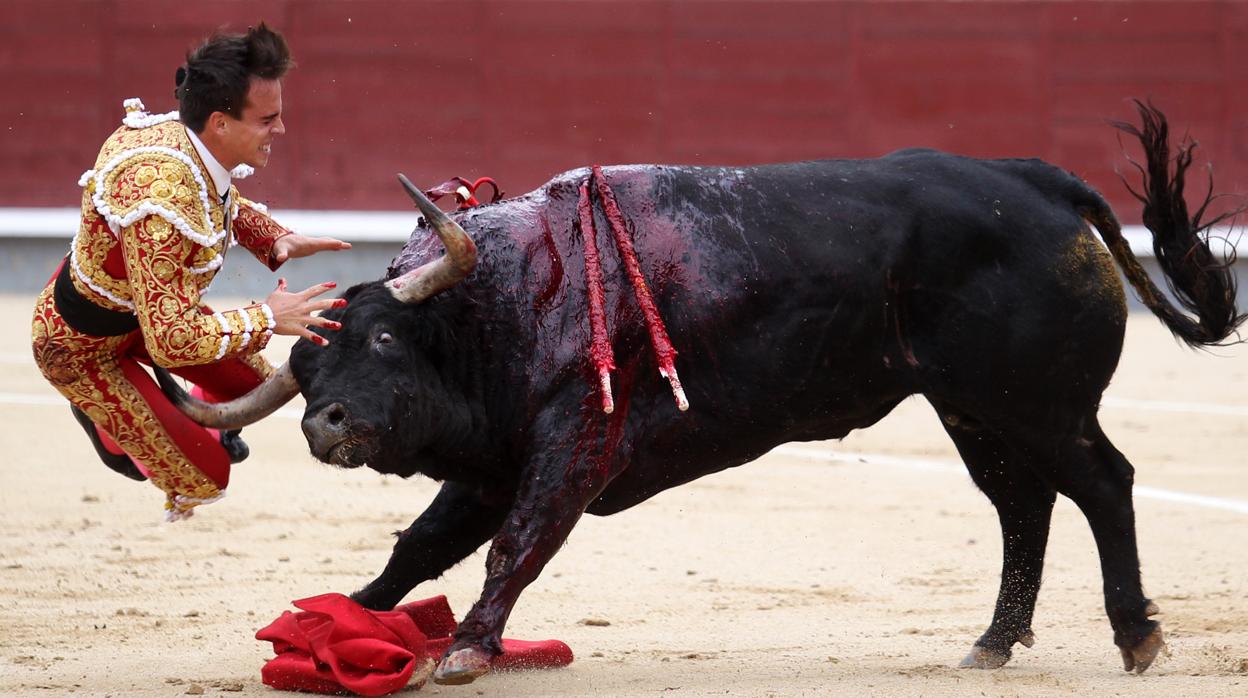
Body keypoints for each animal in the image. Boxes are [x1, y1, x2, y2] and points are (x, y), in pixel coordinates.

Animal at [163, 106, 1238, 684]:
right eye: (304, 372)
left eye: (385, 337)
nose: (326, 423)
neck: (503, 301)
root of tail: (1040, 179)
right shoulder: (496, 460)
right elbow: (420, 547)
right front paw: (342, 620)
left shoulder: (573, 445)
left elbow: (517, 545)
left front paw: (464, 652)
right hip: (973, 409)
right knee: (1025, 506)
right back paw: (993, 643)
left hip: (1040, 403)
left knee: (1101, 484)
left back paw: (1137, 636)